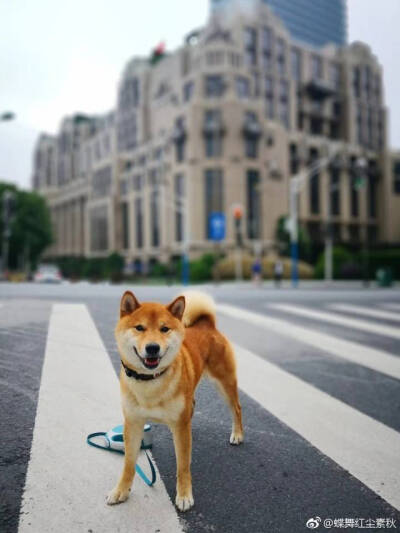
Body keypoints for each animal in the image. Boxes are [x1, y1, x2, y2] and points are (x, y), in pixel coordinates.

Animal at [107, 290, 244, 512]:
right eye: (139, 327)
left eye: (164, 329)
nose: (152, 348)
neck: (150, 381)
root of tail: (207, 324)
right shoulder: (133, 423)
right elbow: (128, 463)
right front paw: (121, 491)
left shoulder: (179, 427)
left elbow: (183, 465)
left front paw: (184, 495)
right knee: (194, 405)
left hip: (224, 383)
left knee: (237, 408)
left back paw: (238, 434)